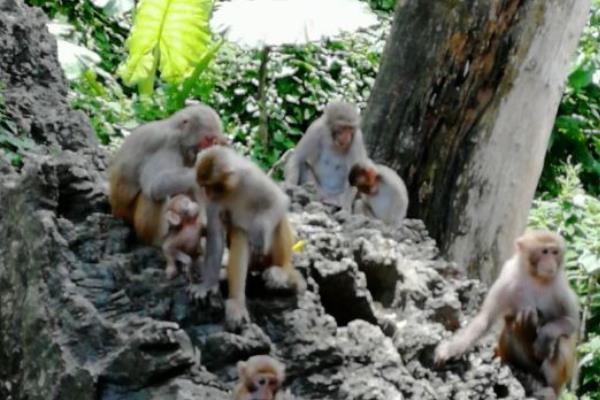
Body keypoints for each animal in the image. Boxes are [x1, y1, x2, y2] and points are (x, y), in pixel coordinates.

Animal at [197, 145, 308, 330]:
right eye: (203, 186)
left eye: (210, 186)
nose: (205, 193)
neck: (233, 188)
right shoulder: (215, 201)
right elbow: (216, 237)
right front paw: (207, 285)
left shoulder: (251, 178)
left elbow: (279, 200)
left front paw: (259, 235)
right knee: (239, 233)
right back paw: (236, 300)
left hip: (271, 257)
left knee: (276, 221)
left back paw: (281, 271)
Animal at [434, 230, 580, 398]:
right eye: (545, 251)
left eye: (555, 252)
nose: (551, 262)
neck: (535, 277)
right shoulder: (507, 278)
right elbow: (485, 319)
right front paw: (450, 349)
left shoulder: (560, 286)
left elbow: (571, 322)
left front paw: (545, 336)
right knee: (513, 324)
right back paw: (526, 374)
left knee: (562, 339)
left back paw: (547, 388)